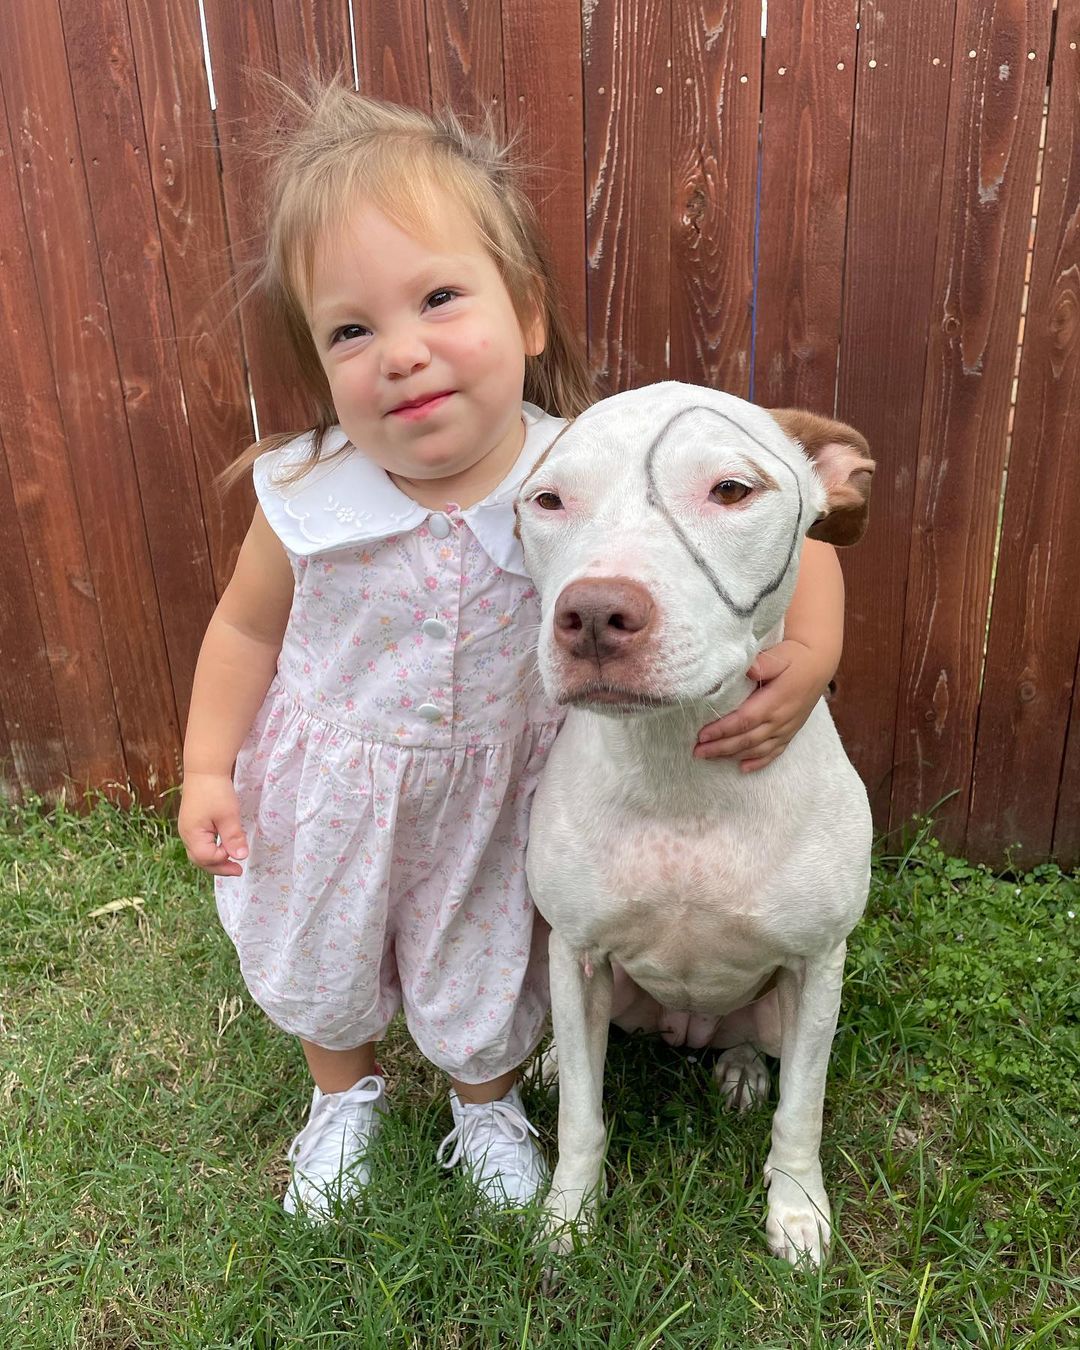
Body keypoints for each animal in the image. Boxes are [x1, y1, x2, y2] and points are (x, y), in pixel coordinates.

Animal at [515, 380, 874, 1263]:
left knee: (756, 1044)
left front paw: (797, 1211)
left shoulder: (818, 964)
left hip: (780, 1010)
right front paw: (568, 1216)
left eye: (732, 490)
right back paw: (549, 1063)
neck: (677, 768)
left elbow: (802, 1113)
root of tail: (686, 1027)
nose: (594, 614)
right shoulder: (577, 954)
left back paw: (740, 1067)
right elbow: (582, 1118)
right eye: (548, 500)